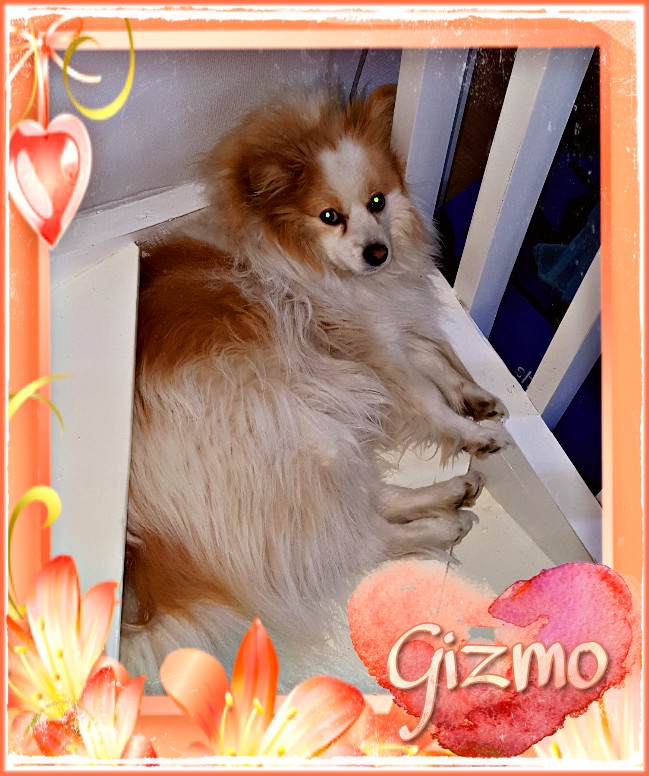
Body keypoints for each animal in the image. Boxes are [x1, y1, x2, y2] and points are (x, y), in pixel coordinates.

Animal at [120, 85, 508, 690]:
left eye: (377, 201)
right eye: (330, 217)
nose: (378, 253)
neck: (306, 260)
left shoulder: (396, 326)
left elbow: (440, 363)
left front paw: (475, 399)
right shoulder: (376, 353)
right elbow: (428, 396)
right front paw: (469, 432)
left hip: (324, 444)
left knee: (371, 507)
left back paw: (451, 494)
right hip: (310, 442)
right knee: (364, 540)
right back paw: (445, 524)